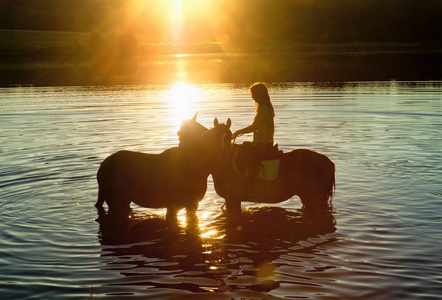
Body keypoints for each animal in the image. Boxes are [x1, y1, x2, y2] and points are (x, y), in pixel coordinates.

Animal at [95, 116, 233, 220]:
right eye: (214, 139)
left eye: (230, 137)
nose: (223, 159)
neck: (191, 165)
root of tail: (103, 164)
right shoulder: (173, 207)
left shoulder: (192, 206)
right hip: (116, 203)